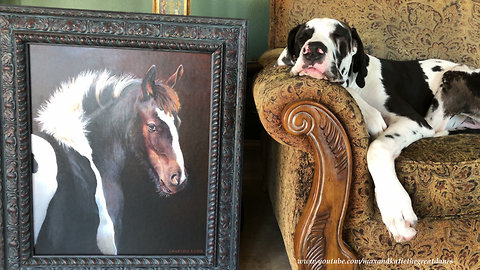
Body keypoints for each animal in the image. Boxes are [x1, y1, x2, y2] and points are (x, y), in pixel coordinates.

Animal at [278, 18, 480, 243]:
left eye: (339, 36)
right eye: (302, 37)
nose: (313, 49)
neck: (360, 83)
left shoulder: (414, 122)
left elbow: (377, 147)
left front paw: (395, 206)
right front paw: (370, 114)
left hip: (452, 78)